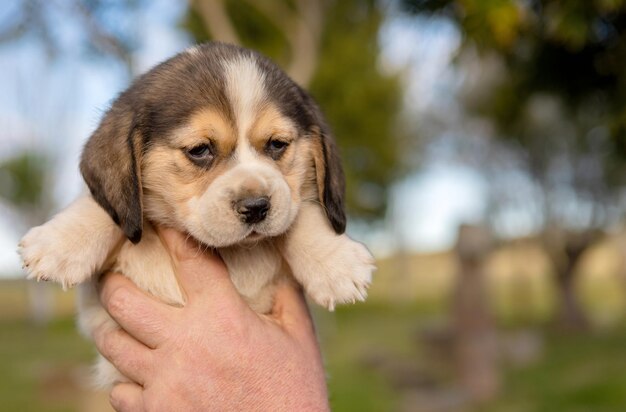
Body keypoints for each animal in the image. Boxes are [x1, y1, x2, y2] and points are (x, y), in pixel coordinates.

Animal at [18, 43, 370, 388]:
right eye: (200, 149)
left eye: (277, 144)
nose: (256, 206)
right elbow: (102, 207)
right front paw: (60, 243)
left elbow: (300, 211)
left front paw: (336, 262)